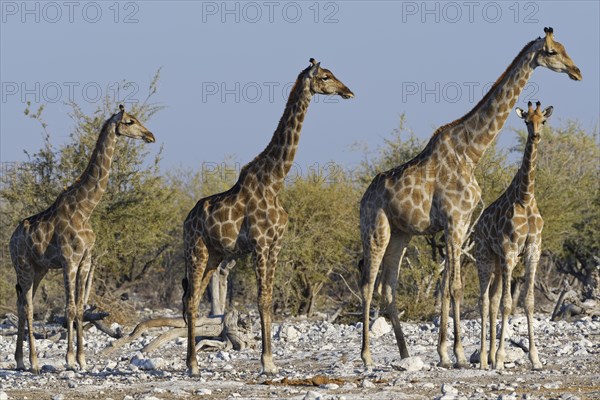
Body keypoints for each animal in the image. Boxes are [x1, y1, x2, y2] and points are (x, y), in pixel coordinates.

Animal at [9, 104, 155, 374]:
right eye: (129, 121)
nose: (150, 136)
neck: (85, 208)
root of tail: (12, 238)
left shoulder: (85, 260)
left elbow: (79, 308)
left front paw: (82, 359)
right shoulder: (69, 260)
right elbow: (69, 308)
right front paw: (69, 359)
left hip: (39, 269)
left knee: (23, 303)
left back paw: (21, 360)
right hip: (22, 265)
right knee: (29, 307)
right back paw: (33, 362)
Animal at [182, 57, 352, 376]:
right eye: (325, 77)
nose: (348, 91)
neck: (275, 182)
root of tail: (186, 220)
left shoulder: (275, 245)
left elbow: (269, 300)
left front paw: (271, 360)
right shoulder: (260, 245)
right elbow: (261, 301)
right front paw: (267, 362)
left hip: (213, 256)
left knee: (193, 298)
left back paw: (192, 363)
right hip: (196, 250)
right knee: (190, 302)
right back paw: (193, 366)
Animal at [476, 101, 556, 372]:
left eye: (543, 120)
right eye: (526, 121)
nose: (536, 135)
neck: (525, 197)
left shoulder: (533, 250)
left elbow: (528, 301)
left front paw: (536, 358)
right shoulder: (510, 250)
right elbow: (508, 304)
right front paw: (501, 358)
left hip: (498, 264)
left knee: (492, 299)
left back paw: (489, 357)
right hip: (484, 258)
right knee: (484, 301)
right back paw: (483, 359)